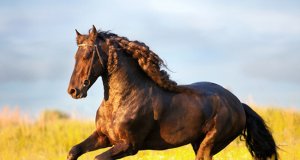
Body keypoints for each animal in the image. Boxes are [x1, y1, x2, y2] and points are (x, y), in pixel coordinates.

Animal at [67, 25, 278, 159]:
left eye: (87, 55)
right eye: (75, 56)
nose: (73, 91)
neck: (122, 100)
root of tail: (239, 104)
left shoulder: (129, 145)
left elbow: (97, 158)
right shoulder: (104, 137)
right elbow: (74, 151)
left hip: (209, 144)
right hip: (197, 143)